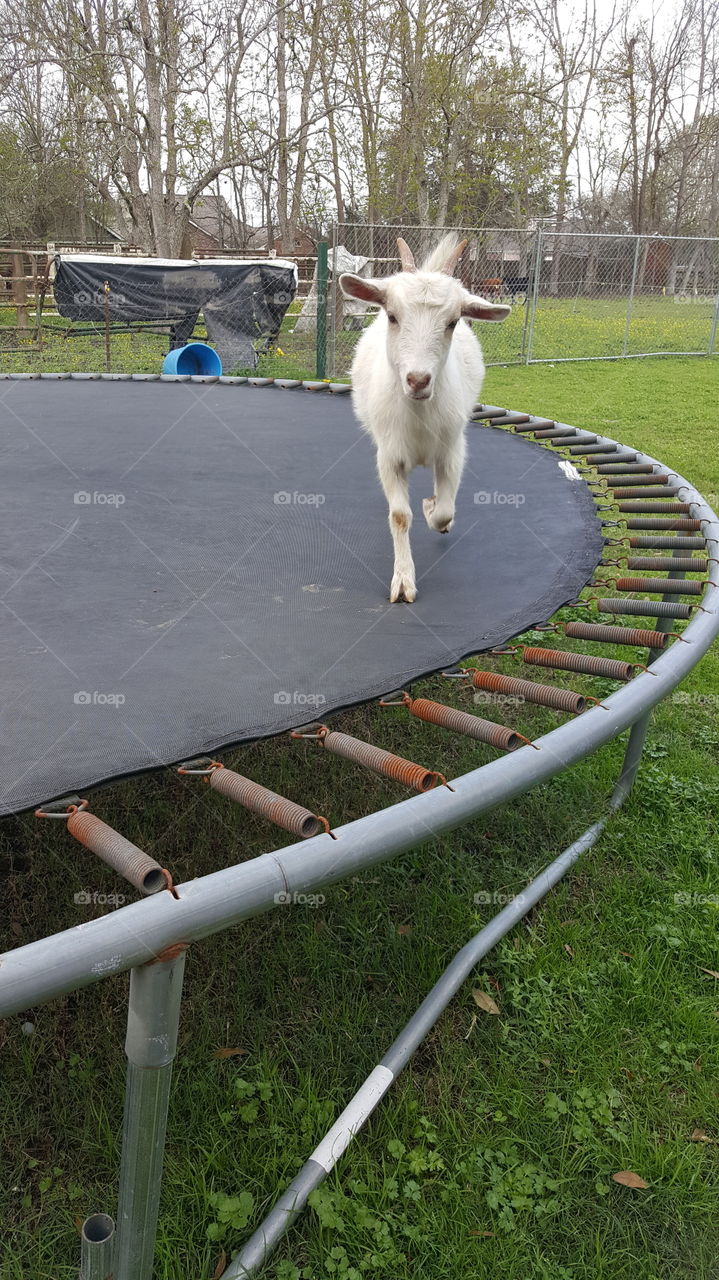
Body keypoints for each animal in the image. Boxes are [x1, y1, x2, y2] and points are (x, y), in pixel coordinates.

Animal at [337, 235, 506, 604]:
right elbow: (400, 516)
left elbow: (445, 510)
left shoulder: (452, 452)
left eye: (453, 322)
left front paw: (432, 509)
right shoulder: (389, 456)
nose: (417, 380)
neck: (417, 417)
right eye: (392, 315)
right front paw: (403, 582)